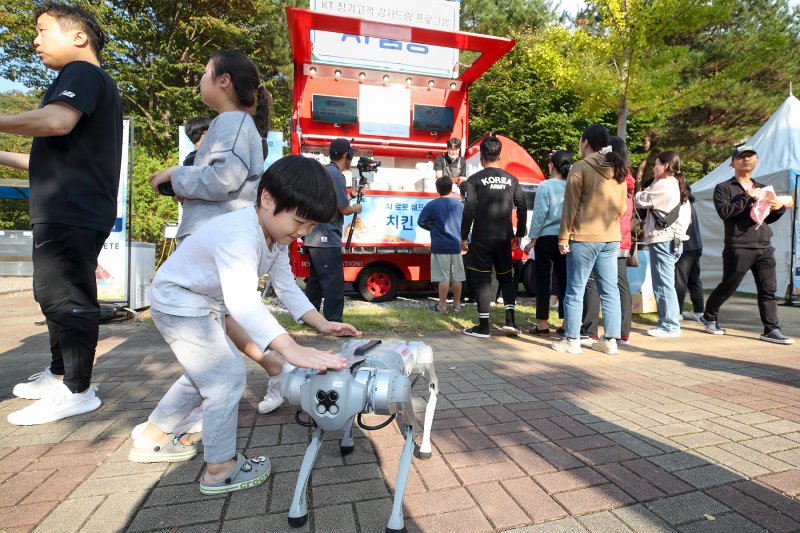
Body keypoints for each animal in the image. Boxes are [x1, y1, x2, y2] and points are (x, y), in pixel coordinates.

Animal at [282, 338, 440, 528]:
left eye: (331, 396)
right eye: (322, 395)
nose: (326, 398)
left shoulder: (401, 394)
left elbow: (411, 431)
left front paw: (395, 521)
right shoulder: (320, 424)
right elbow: (311, 449)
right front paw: (296, 511)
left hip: (422, 358)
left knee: (433, 386)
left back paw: (425, 448)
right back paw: (346, 442)